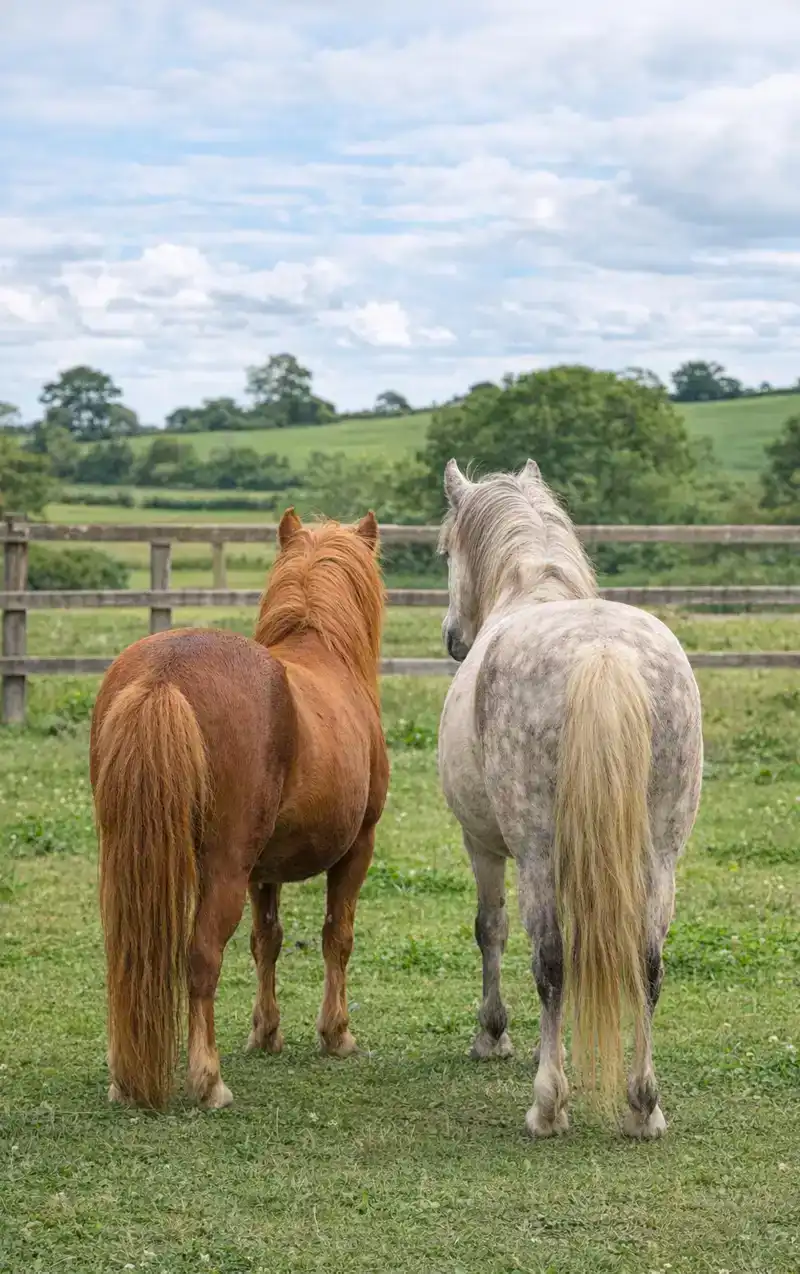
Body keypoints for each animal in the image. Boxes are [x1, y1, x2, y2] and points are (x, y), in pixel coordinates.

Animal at [90, 508, 388, 1111]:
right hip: (223, 870)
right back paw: (209, 1081)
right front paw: (336, 1034)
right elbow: (337, 936)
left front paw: (265, 1032)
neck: (324, 651)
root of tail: (163, 675)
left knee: (126, 955)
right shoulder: (357, 849)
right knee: (202, 957)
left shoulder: (262, 870)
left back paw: (124, 1080)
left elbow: (266, 940)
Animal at [437, 460, 703, 1139]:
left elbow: (491, 929)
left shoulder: (480, 844)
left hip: (534, 853)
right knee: (648, 961)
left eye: (445, 551)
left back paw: (548, 1104)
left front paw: (495, 1036)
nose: (452, 638)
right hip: (661, 853)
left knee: (551, 959)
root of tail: (600, 652)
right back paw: (644, 1106)